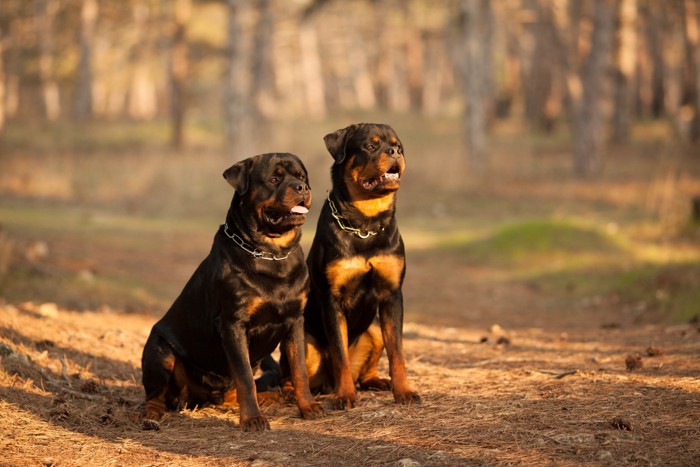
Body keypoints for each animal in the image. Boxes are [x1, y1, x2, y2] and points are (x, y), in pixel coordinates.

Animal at [140, 153, 326, 432]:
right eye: (274, 179)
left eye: (301, 177)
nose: (302, 188)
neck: (271, 253)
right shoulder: (233, 324)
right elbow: (245, 377)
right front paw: (252, 419)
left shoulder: (295, 321)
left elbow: (299, 370)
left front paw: (307, 406)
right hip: (160, 349)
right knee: (155, 395)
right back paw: (151, 414)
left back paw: (273, 396)